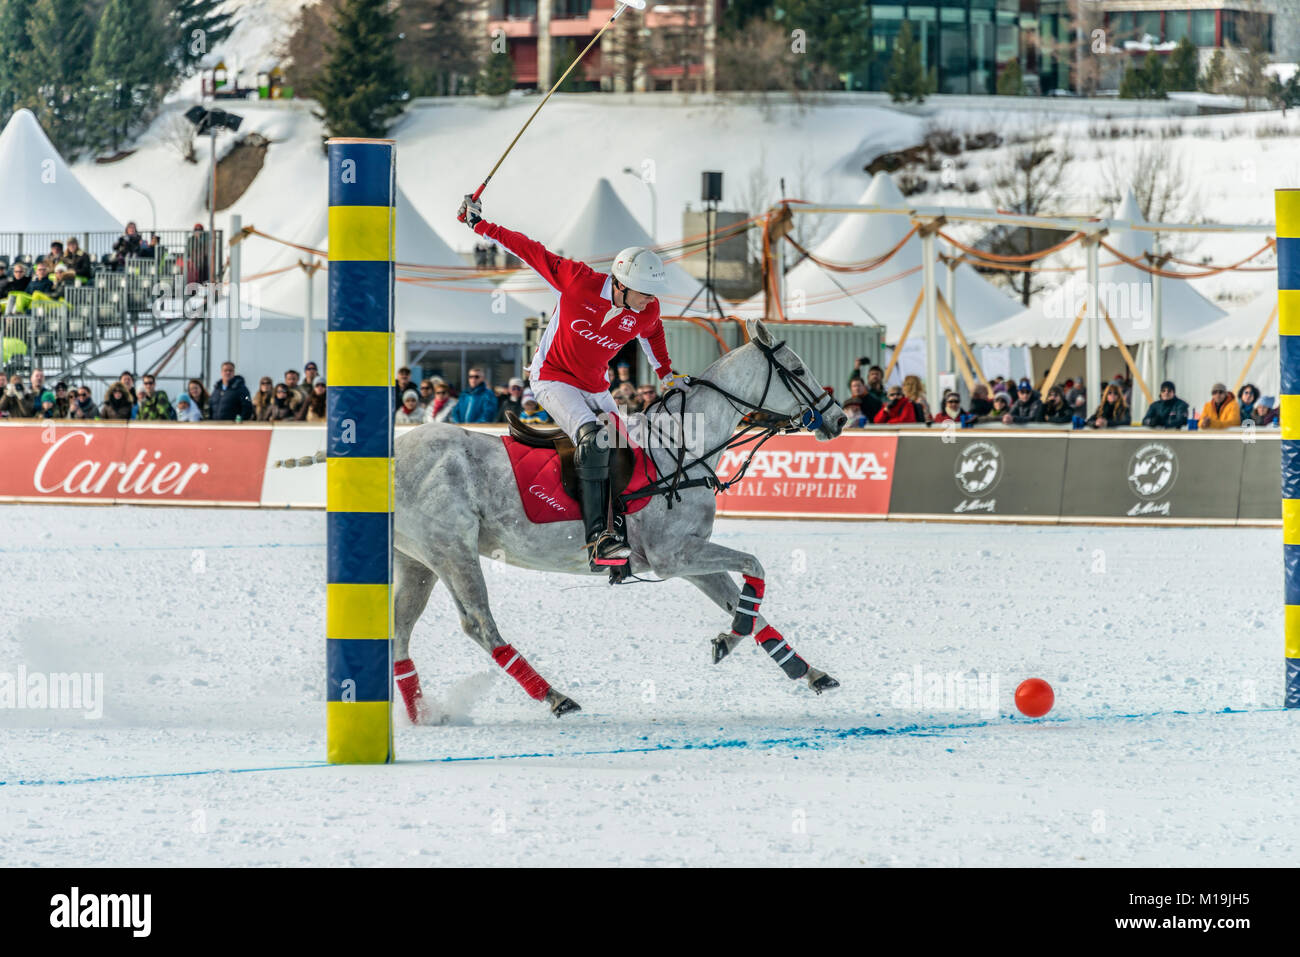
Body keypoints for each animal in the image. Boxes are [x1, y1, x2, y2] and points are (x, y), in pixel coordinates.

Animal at [390, 317, 847, 722]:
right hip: (452, 552)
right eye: (798, 369)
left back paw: (418, 716)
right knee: (478, 624)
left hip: (417, 561)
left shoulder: (689, 556)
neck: (682, 447)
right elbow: (755, 566)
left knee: (401, 628)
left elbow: (744, 603)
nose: (839, 418)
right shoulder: (673, 556)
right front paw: (732, 637)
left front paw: (803, 669)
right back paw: (556, 697)